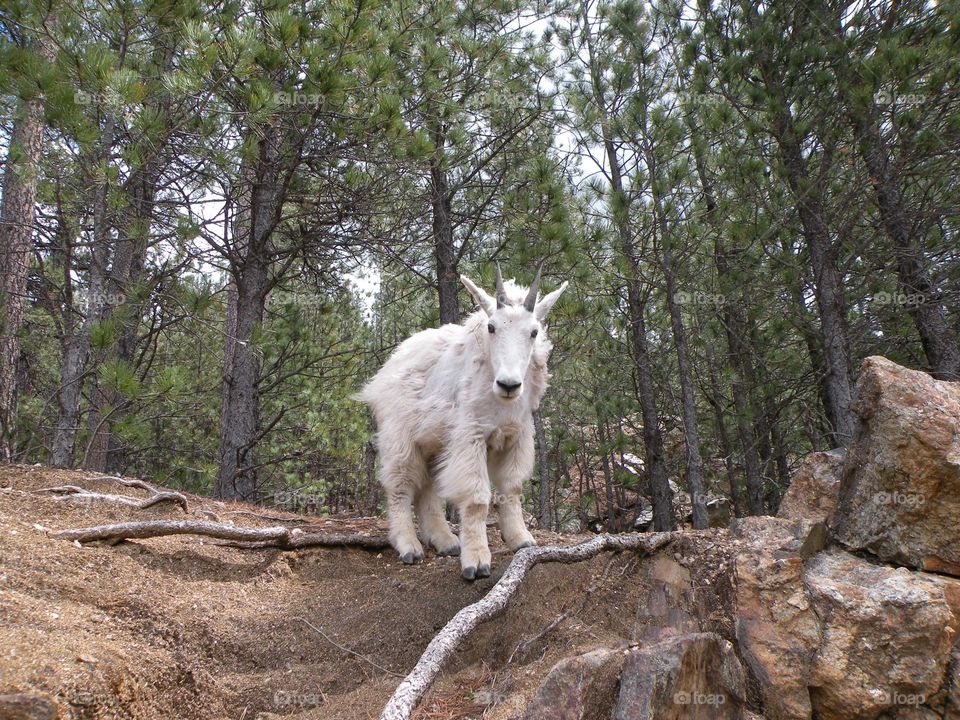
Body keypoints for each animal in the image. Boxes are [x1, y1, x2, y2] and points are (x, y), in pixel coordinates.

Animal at [360, 266, 568, 580]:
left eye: (534, 332)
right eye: (491, 328)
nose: (509, 385)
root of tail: (391, 364)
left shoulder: (517, 436)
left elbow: (511, 489)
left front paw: (521, 539)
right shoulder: (471, 437)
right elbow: (476, 499)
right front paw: (477, 561)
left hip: (435, 441)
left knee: (429, 488)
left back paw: (445, 540)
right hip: (401, 436)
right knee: (400, 486)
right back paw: (409, 545)